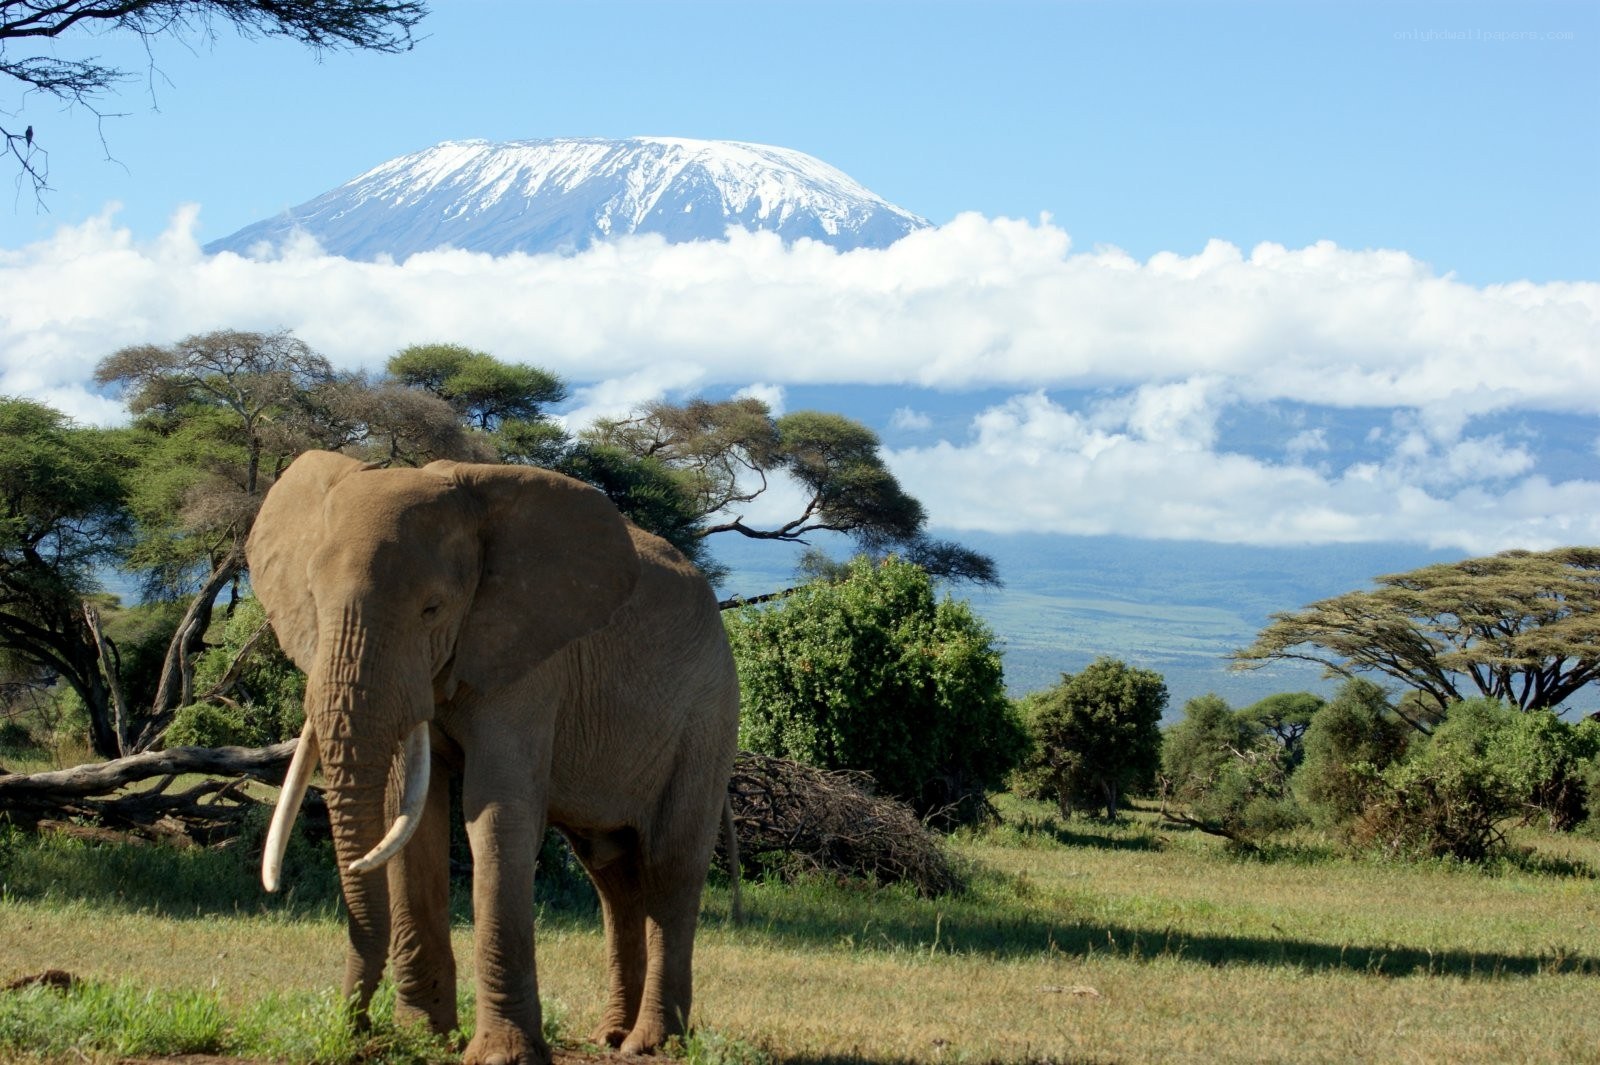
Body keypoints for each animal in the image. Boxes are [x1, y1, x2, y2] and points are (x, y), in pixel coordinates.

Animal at [247, 450, 741, 1065]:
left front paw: (500, 1055)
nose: (352, 1031)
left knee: (670, 863)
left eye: (433, 609)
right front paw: (423, 1036)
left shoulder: (530, 662)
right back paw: (609, 1036)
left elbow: (495, 817)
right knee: (613, 877)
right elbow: (410, 820)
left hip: (707, 717)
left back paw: (649, 1045)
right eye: (313, 602)